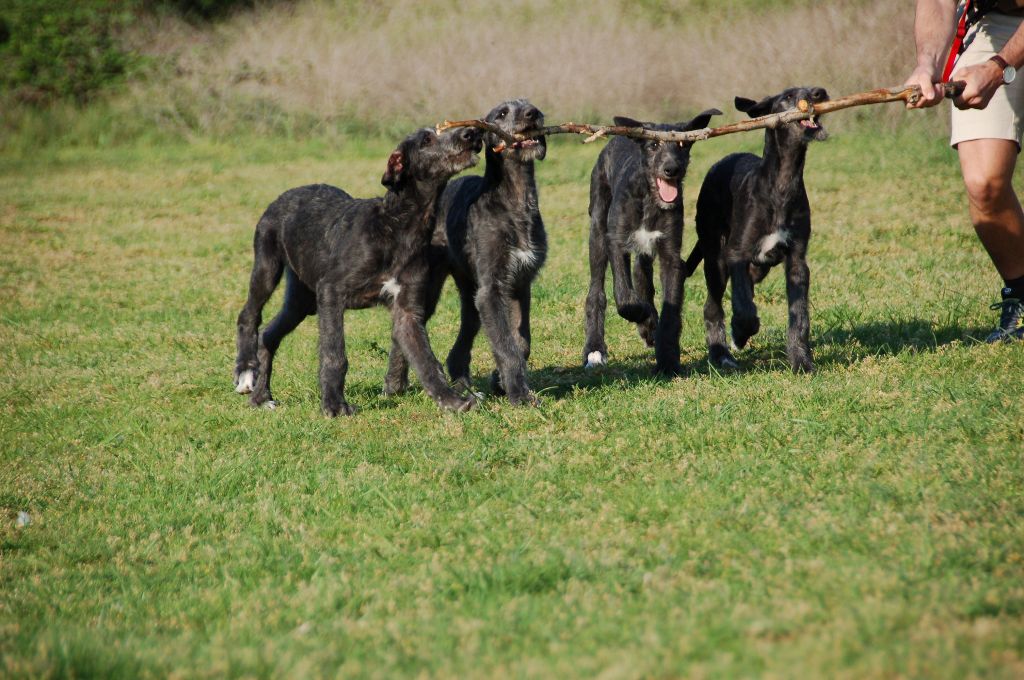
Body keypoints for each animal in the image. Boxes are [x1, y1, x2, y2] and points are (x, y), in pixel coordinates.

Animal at [235, 125, 483, 417]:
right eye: (427, 139)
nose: (471, 133)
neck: (396, 225)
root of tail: (283, 196)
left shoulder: (407, 310)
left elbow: (426, 359)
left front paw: (451, 400)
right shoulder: (331, 292)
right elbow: (335, 354)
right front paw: (334, 404)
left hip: (301, 299)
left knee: (269, 335)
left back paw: (261, 397)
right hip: (267, 265)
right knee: (248, 315)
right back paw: (245, 370)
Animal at [581, 112, 724, 376]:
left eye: (682, 144)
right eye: (654, 145)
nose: (671, 169)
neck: (648, 199)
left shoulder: (671, 254)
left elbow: (670, 309)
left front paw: (667, 357)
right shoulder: (617, 242)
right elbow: (625, 298)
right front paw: (644, 317)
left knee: (642, 277)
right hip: (597, 230)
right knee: (596, 292)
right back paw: (595, 349)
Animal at [684, 86, 827, 372]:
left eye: (812, 87)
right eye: (787, 96)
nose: (820, 93)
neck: (782, 183)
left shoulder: (797, 261)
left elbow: (799, 316)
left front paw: (801, 361)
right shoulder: (737, 253)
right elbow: (744, 304)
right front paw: (741, 331)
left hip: (760, 266)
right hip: (715, 258)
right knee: (712, 305)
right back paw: (722, 355)